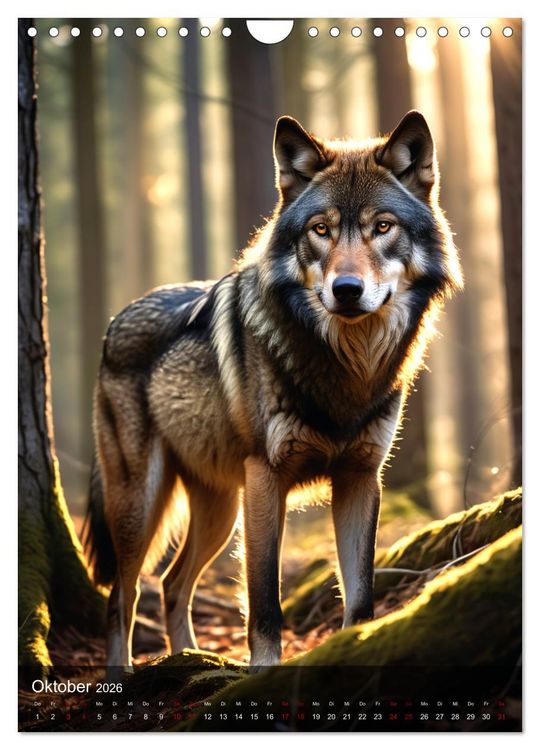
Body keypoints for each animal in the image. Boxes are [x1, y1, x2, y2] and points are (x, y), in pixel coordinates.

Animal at [84, 110, 462, 668]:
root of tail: (114, 323)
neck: (345, 365)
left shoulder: (360, 478)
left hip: (218, 511)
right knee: (122, 595)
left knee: (173, 583)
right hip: (142, 503)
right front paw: (263, 673)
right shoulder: (265, 478)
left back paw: (192, 661)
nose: (346, 290)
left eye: (382, 227)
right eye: (321, 229)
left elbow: (360, 597)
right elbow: (264, 602)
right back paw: (130, 673)